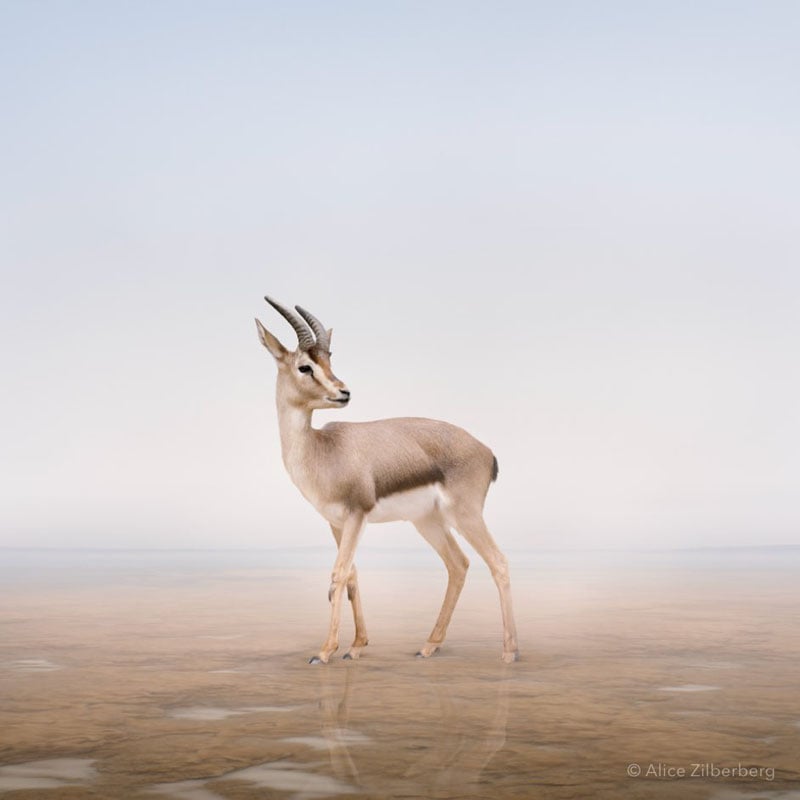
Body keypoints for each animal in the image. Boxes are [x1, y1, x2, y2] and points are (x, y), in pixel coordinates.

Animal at [255, 297, 519, 664]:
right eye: (305, 366)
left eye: (328, 359)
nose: (344, 392)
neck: (322, 450)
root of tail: (487, 452)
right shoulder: (337, 522)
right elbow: (352, 576)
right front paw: (356, 646)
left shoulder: (357, 515)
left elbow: (338, 575)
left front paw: (325, 652)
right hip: (428, 521)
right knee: (458, 564)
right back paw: (429, 645)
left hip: (465, 516)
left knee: (498, 562)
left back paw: (509, 652)